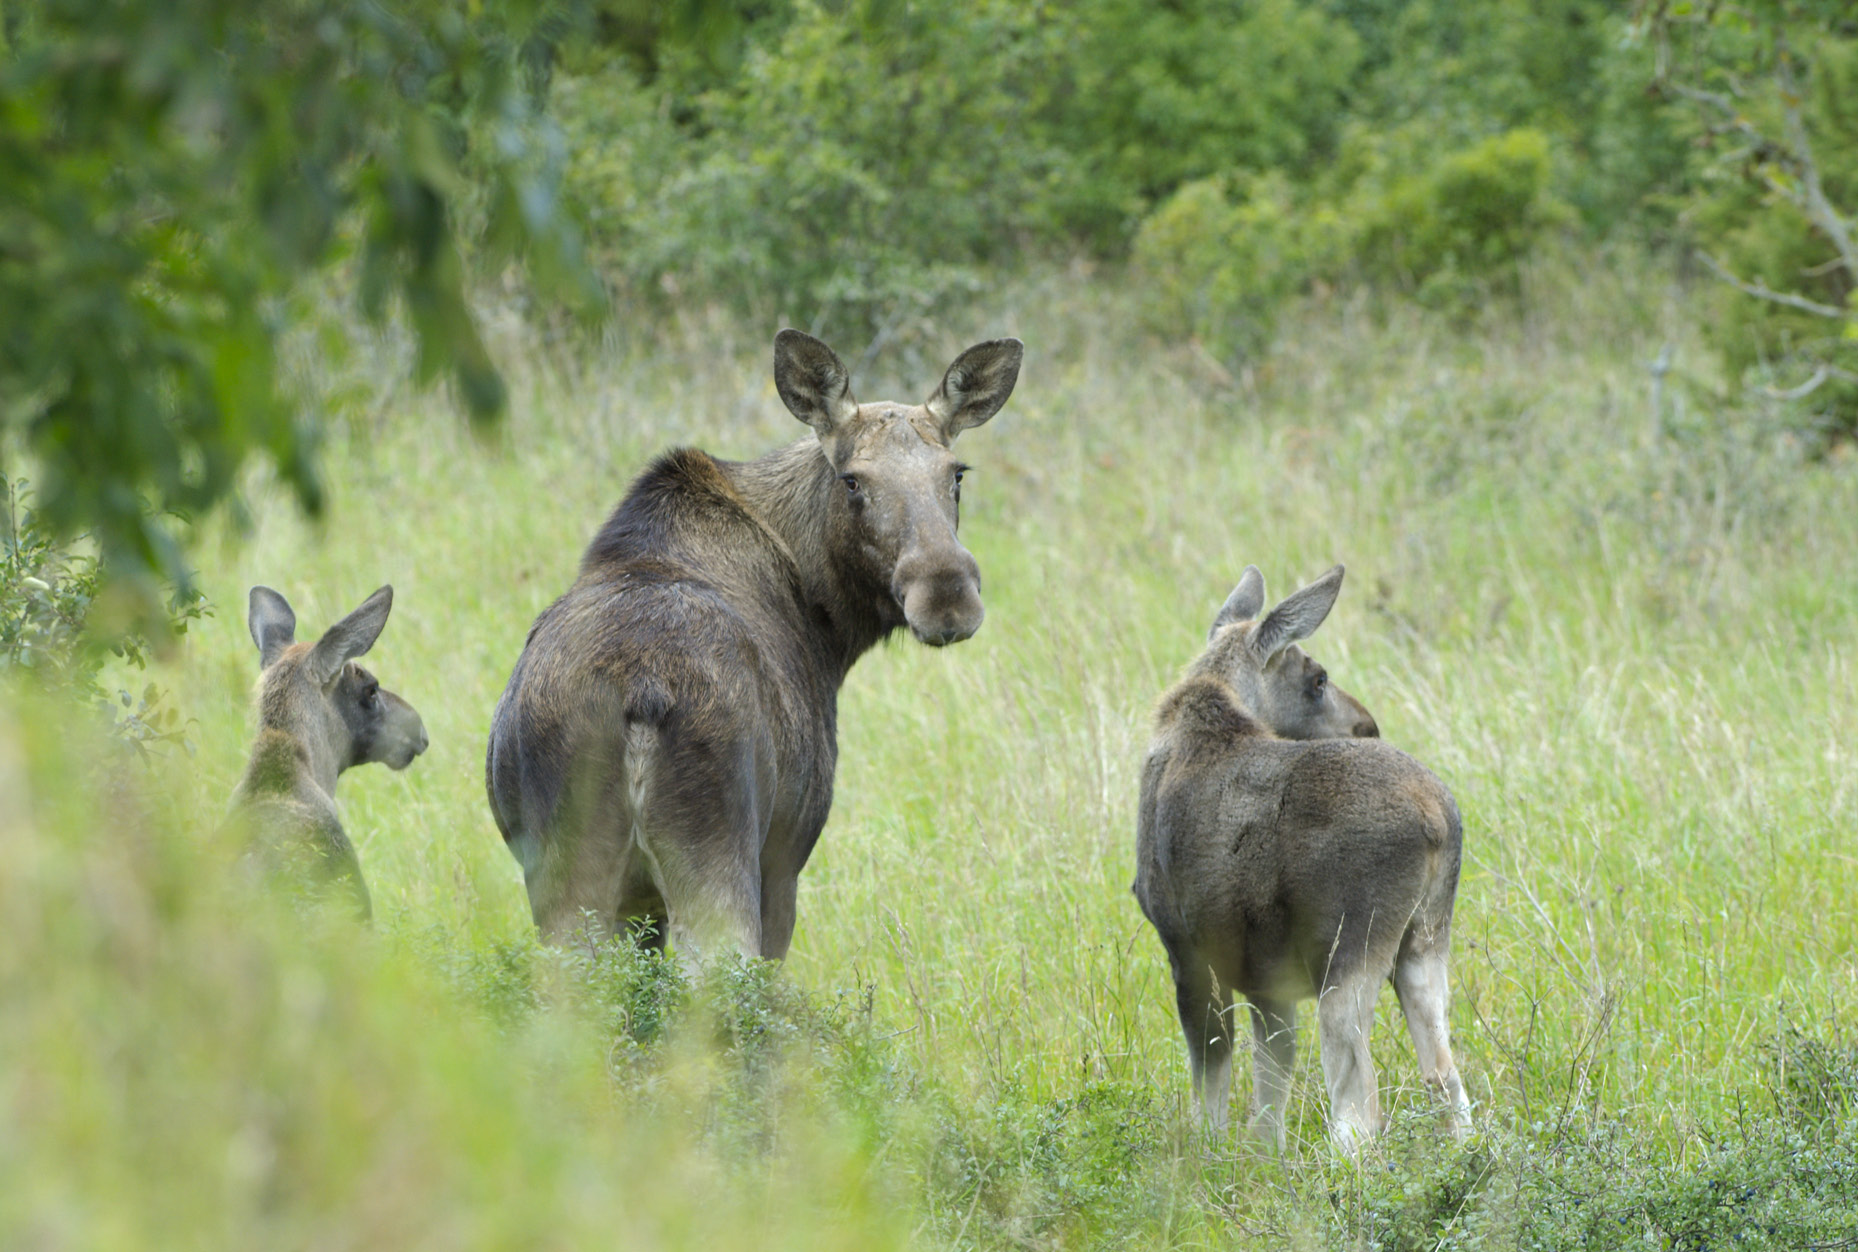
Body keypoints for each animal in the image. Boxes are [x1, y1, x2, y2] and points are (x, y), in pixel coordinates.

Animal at [486, 328, 1025, 958]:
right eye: (852, 480)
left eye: (957, 473)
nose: (946, 596)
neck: (831, 629)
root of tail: (640, 694)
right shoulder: (787, 856)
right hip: (719, 854)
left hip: (568, 885)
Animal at [1122, 564, 1471, 1151]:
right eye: (1319, 679)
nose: (1366, 726)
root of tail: (1439, 821)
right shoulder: (1268, 981)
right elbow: (1271, 1096)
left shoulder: (1187, 951)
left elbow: (1213, 1080)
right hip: (1423, 944)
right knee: (1448, 1083)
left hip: (1350, 953)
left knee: (1359, 1110)